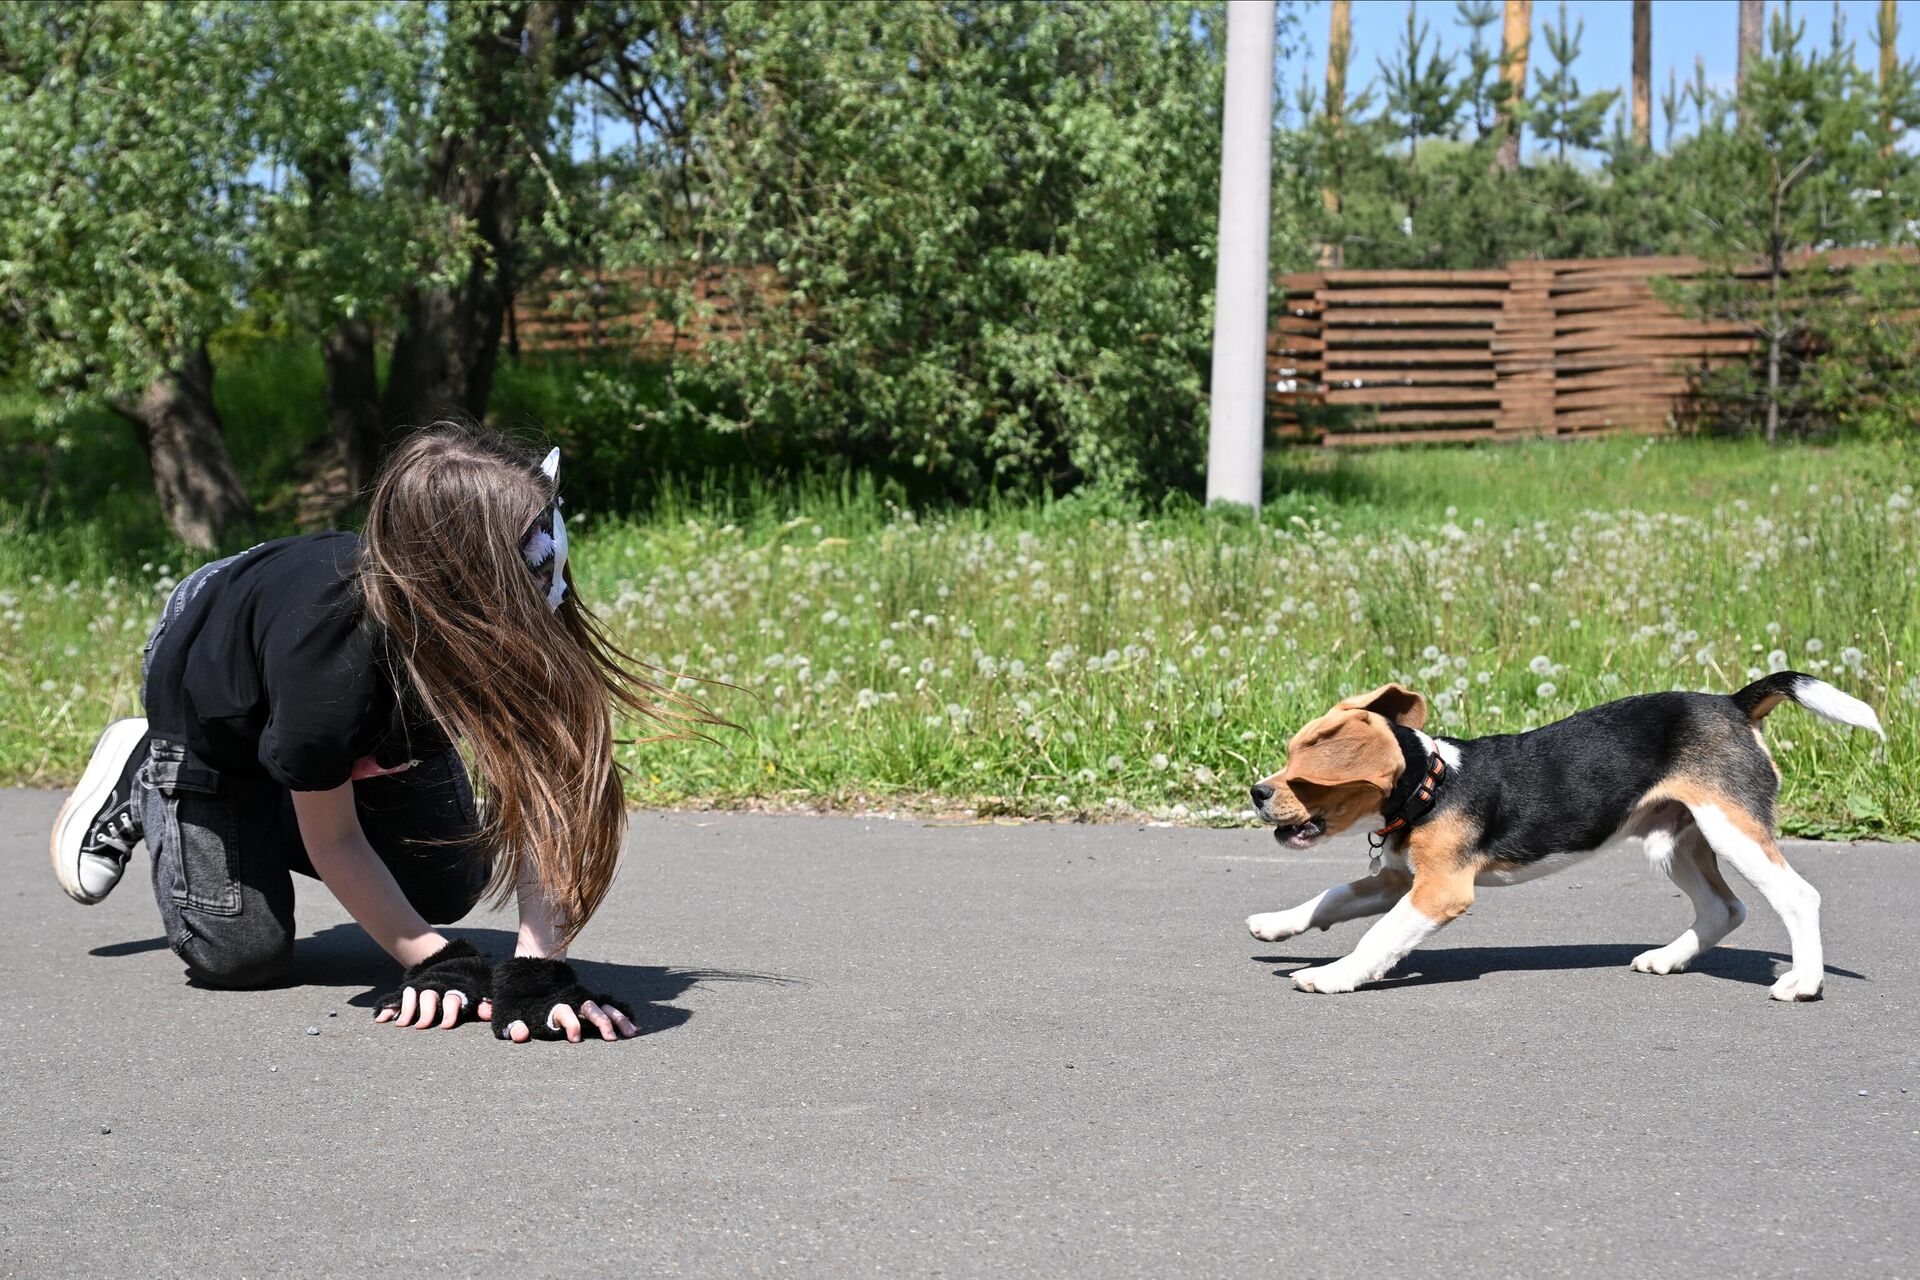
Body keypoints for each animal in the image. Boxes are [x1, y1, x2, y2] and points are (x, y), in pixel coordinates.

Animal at [1251, 671, 1881, 997]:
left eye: (1303, 776)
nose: (1258, 791)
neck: (1432, 784)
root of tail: (1732, 704)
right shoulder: (1398, 880)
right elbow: (1331, 898)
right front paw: (1276, 924)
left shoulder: (1438, 891)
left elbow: (1377, 937)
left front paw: (1332, 975)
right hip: (1673, 841)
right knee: (1724, 909)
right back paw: (1668, 959)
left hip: (1732, 830)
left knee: (1797, 896)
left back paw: (1803, 982)